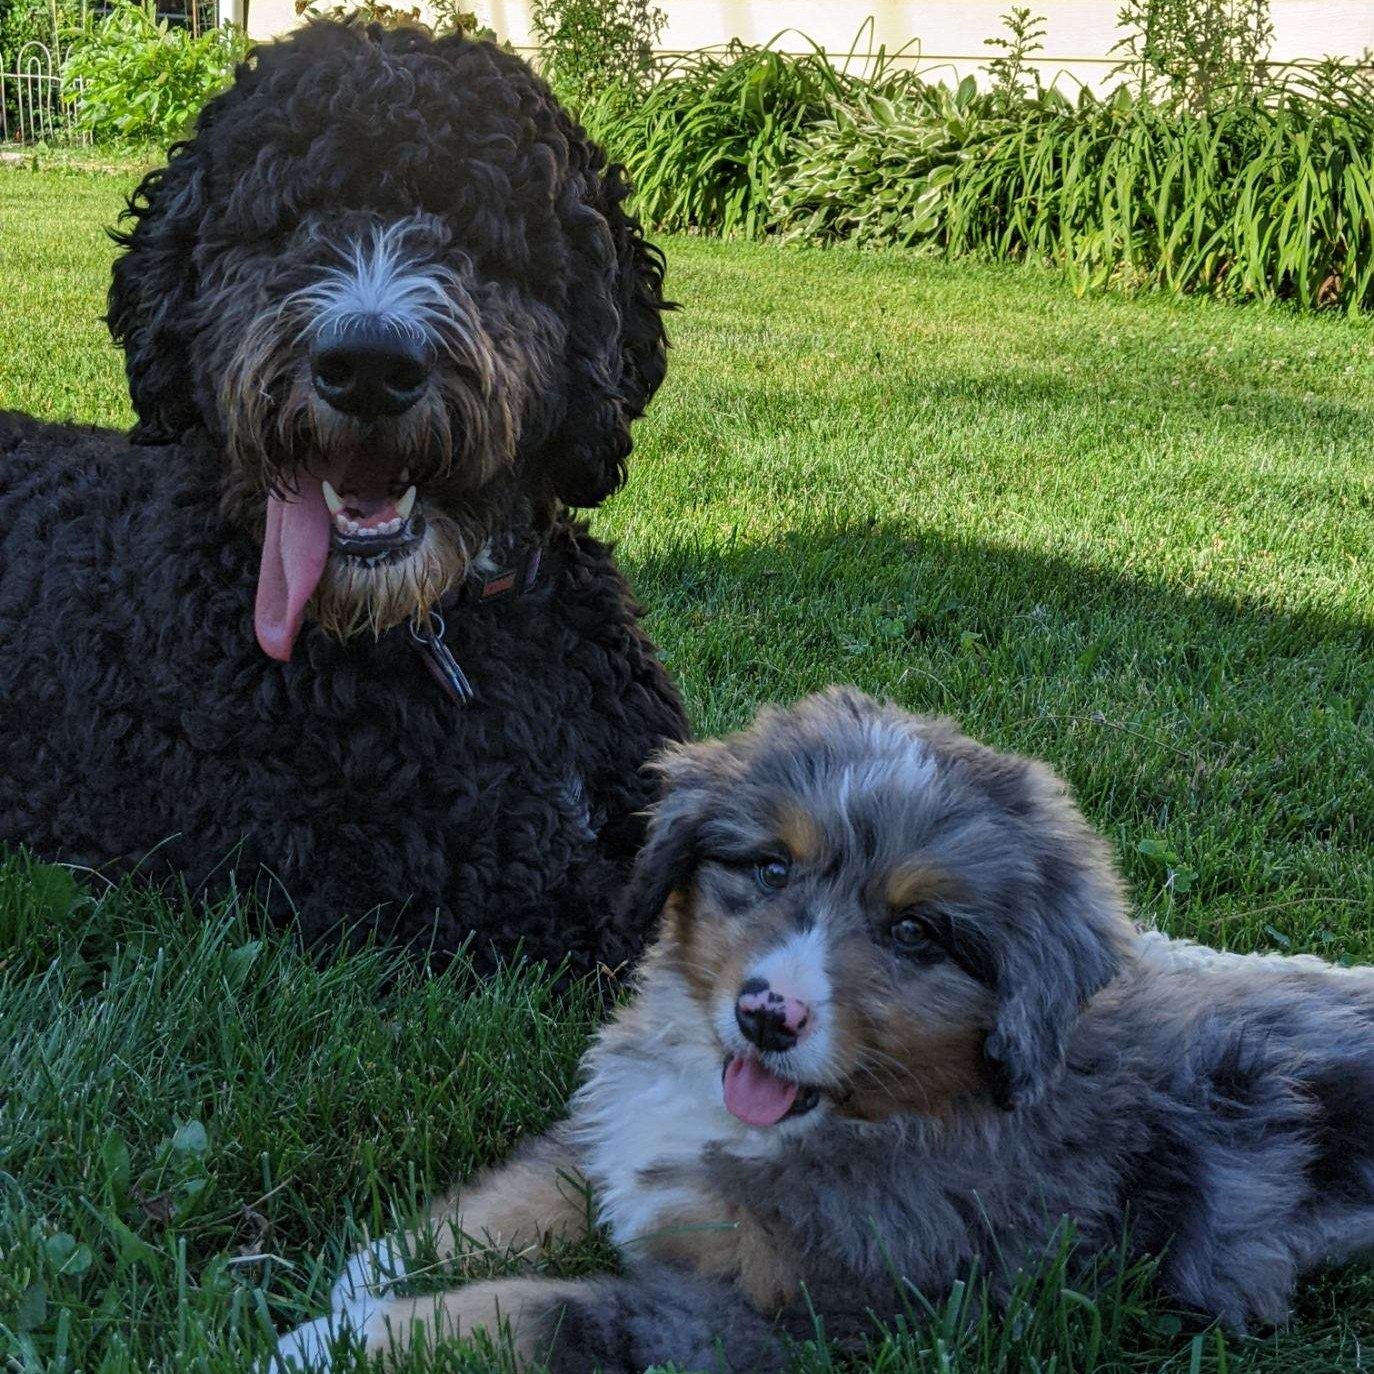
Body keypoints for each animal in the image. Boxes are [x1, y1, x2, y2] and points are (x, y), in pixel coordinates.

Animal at [276, 692, 1374, 1368]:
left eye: (915, 933)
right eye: (770, 868)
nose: (767, 1015)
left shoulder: (803, 1323)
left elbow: (554, 1312)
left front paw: (333, 1341)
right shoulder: (618, 1125)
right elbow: (519, 1191)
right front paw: (368, 1272)